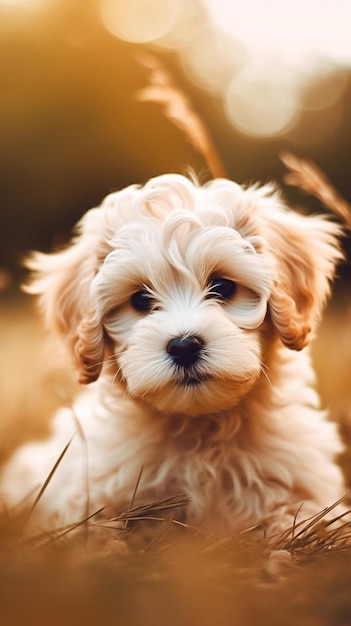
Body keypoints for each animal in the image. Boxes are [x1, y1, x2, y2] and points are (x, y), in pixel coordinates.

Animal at [0, 173, 346, 532]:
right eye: (140, 299)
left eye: (223, 287)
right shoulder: (91, 497)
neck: (199, 429)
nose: (184, 346)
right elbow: (94, 531)